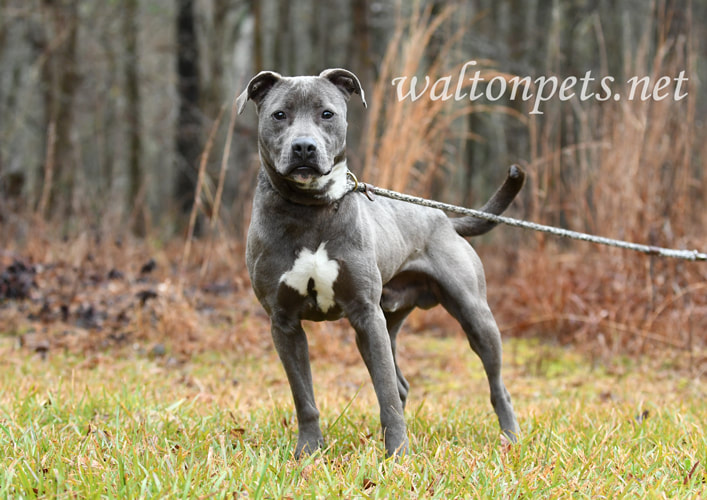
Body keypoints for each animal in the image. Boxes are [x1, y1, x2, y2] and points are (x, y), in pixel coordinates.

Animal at [235, 67, 524, 458]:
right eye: (279, 114)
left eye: (327, 113)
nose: (304, 146)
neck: (311, 208)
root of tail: (444, 218)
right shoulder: (284, 323)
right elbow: (304, 397)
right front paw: (308, 453)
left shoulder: (366, 315)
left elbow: (384, 393)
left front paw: (398, 456)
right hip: (389, 321)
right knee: (400, 383)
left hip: (474, 316)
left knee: (496, 385)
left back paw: (511, 438)